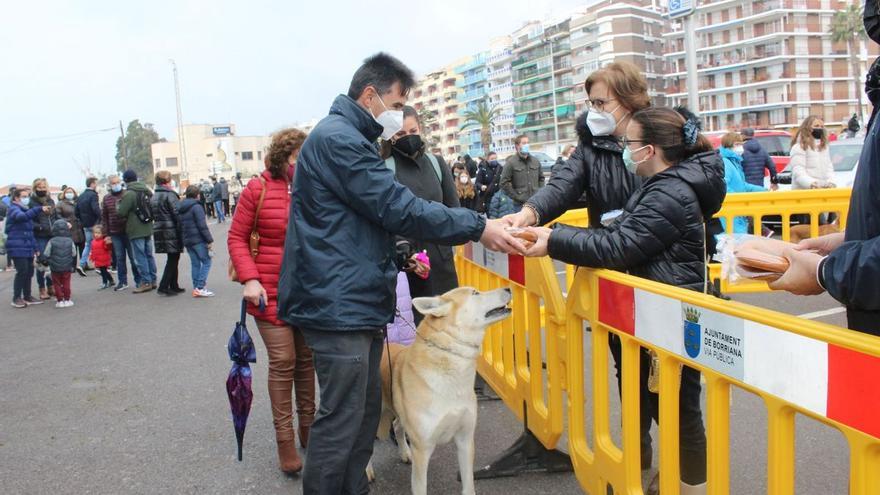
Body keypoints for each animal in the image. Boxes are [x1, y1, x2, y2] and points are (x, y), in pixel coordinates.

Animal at [368, 286, 512, 495]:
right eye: (475, 293)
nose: (509, 287)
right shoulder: (423, 449)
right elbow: (421, 487)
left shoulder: (465, 439)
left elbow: (468, 484)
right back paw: (367, 472)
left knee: (396, 425)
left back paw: (405, 453)